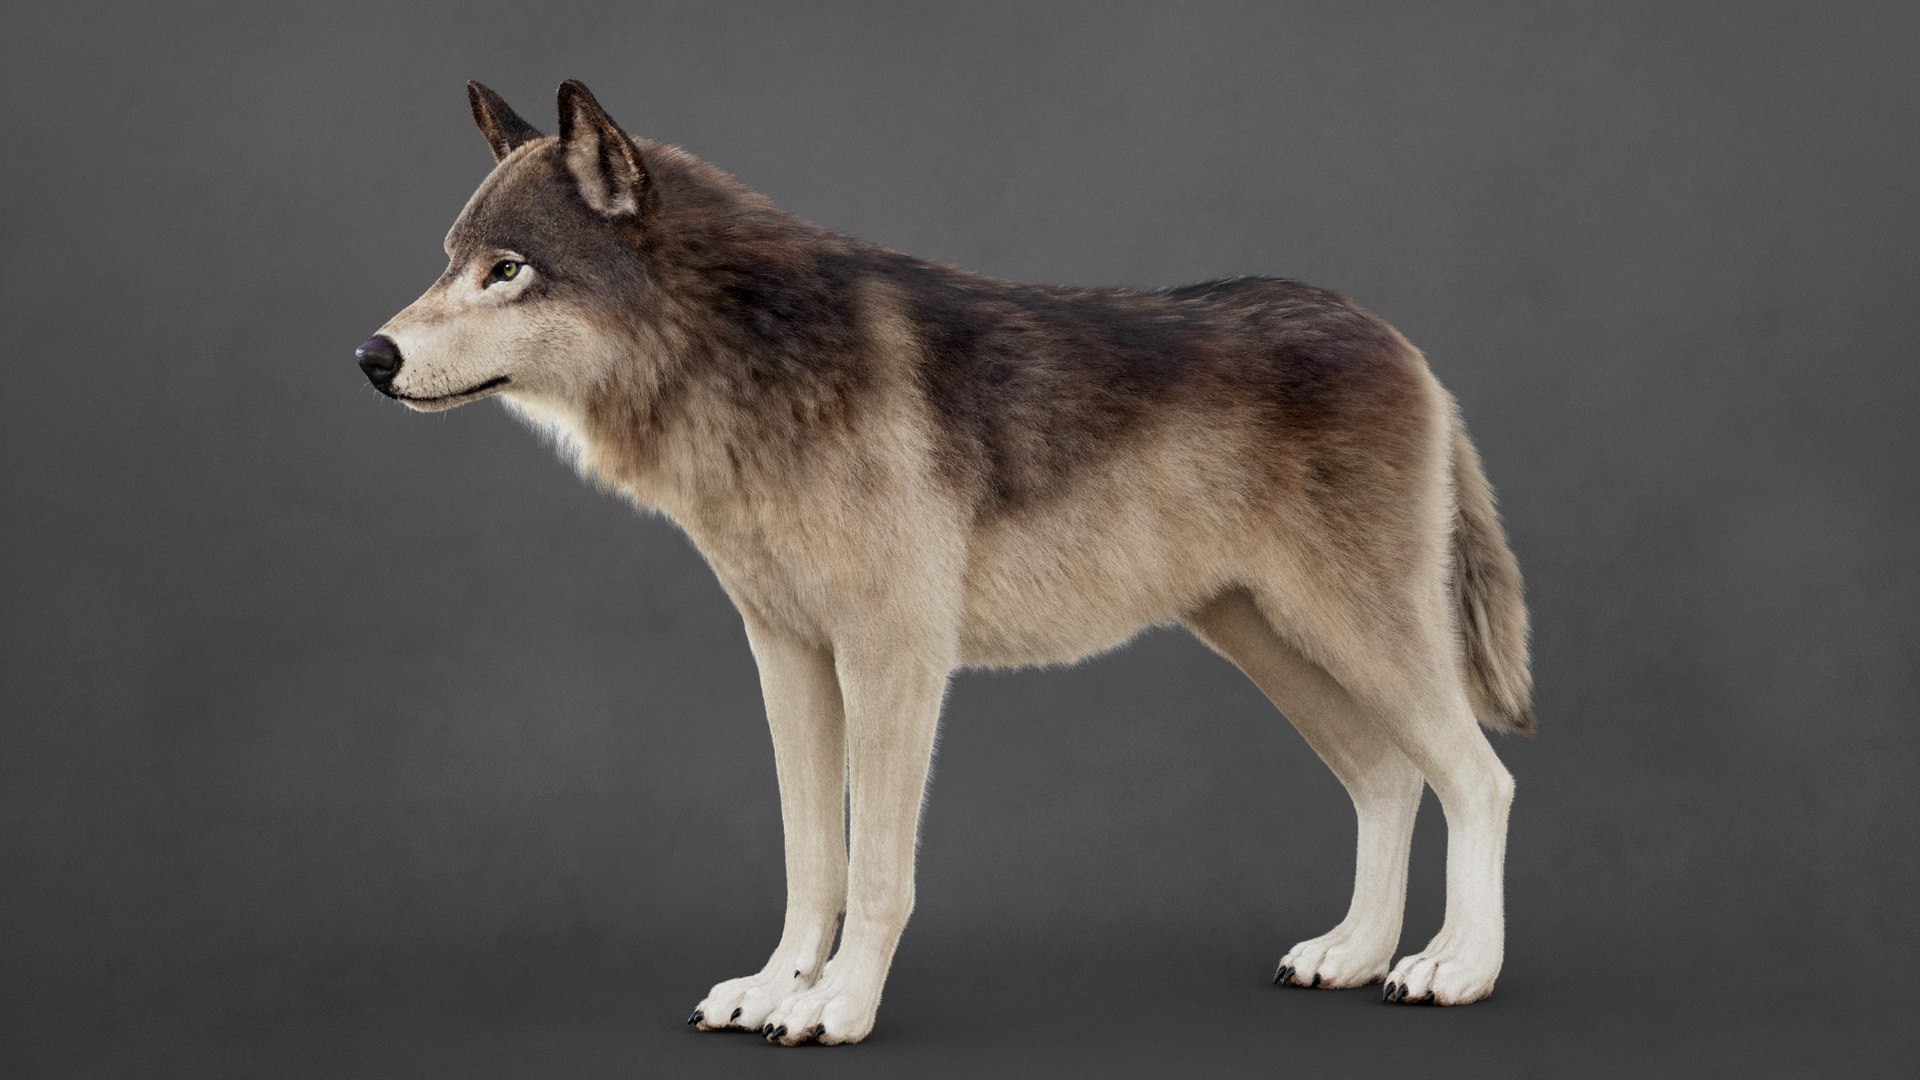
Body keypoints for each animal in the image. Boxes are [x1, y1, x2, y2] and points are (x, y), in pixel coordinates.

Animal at [357, 80, 1533, 1045]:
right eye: (449, 262)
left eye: (508, 271)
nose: (372, 355)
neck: (744, 366)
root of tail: (1406, 347)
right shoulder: (787, 656)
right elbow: (810, 861)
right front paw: (776, 988)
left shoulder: (894, 660)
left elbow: (879, 870)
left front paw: (837, 1007)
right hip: (1273, 642)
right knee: (1389, 780)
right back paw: (1353, 955)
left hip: (1356, 636)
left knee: (1481, 779)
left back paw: (1457, 969)